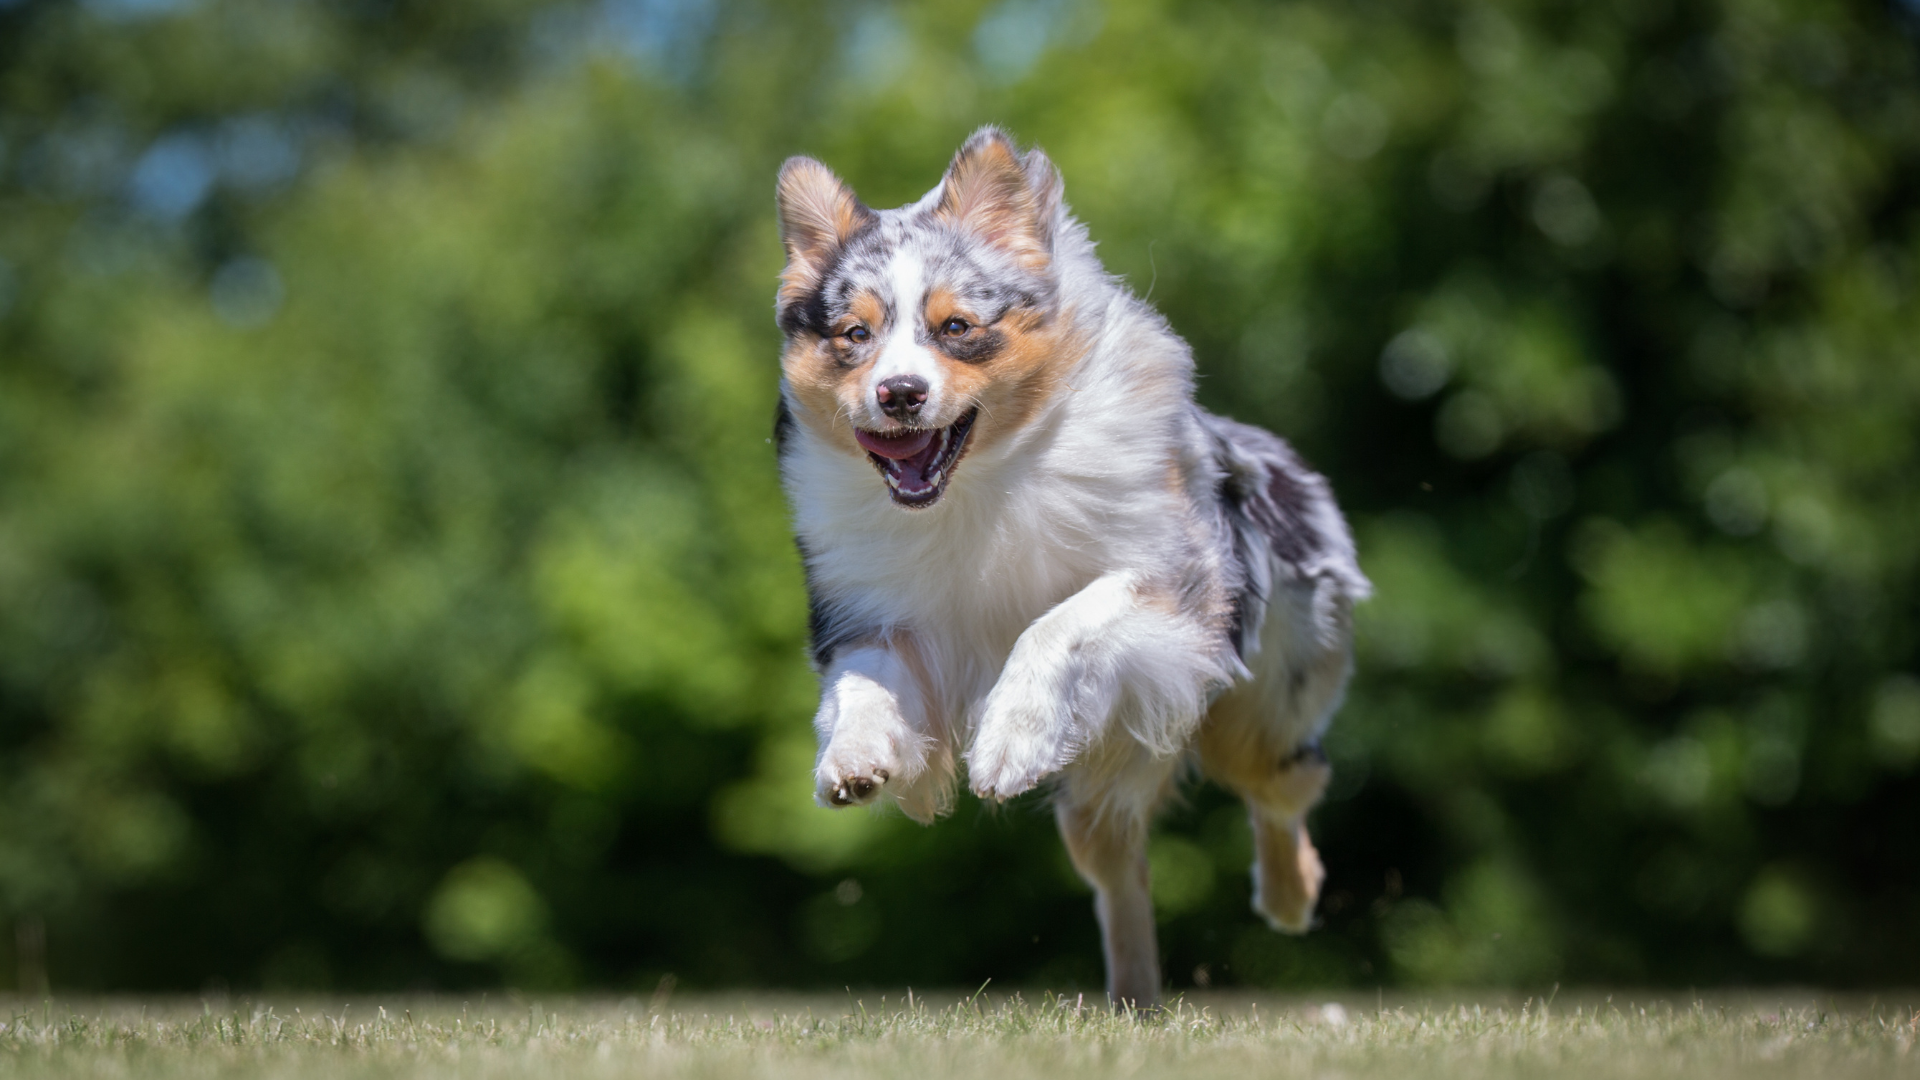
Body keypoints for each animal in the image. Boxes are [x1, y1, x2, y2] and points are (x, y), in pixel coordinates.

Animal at [771, 130, 1374, 1006]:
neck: (978, 486)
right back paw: (1134, 996)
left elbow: (1061, 623)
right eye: (854, 335)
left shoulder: (1175, 579)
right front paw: (855, 758)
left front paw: (1010, 743)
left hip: (1258, 710)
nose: (899, 393)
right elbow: (864, 684)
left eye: (956, 327)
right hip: (1106, 784)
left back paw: (1291, 896)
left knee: (1286, 786)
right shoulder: (875, 614)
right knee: (1120, 869)